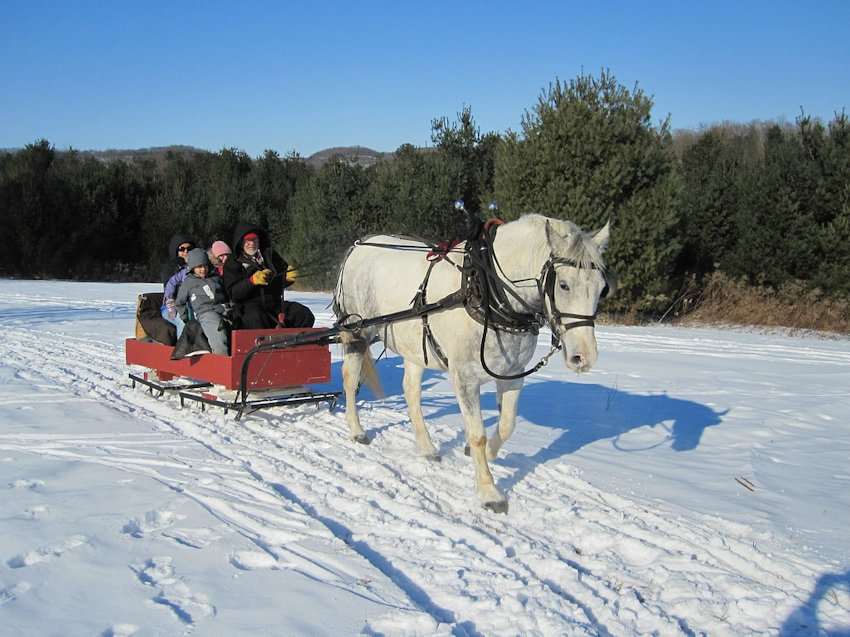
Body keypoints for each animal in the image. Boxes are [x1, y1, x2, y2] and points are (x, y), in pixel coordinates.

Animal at [333, 213, 613, 513]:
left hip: (415, 346)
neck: (488, 292)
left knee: (411, 391)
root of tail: (358, 245)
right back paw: (357, 430)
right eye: (564, 285)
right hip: (357, 332)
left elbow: (507, 424)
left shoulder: (514, 374)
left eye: (601, 288)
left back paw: (427, 446)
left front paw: (486, 454)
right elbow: (477, 433)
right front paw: (490, 492)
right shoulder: (464, 377)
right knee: (349, 377)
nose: (584, 357)